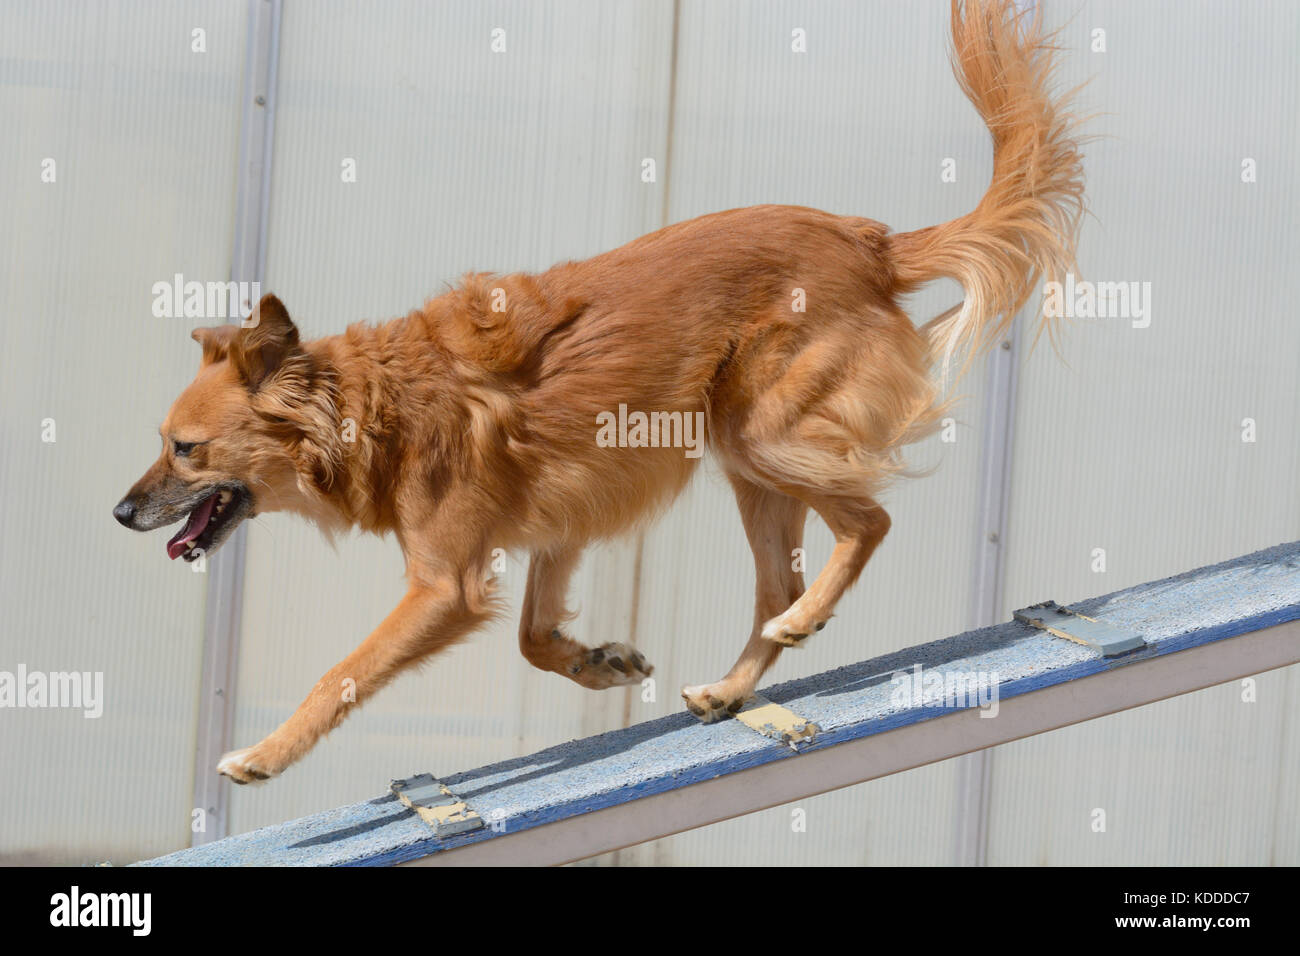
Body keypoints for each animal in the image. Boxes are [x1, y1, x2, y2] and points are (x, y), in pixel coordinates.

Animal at [114, 1, 1086, 785]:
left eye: (184, 450)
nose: (121, 515)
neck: (373, 406)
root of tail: (870, 241)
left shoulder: (443, 585)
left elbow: (343, 671)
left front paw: (263, 756)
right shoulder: (557, 524)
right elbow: (531, 637)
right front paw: (600, 664)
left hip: (761, 433)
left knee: (868, 521)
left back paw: (805, 621)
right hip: (750, 463)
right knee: (777, 582)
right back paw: (732, 685)